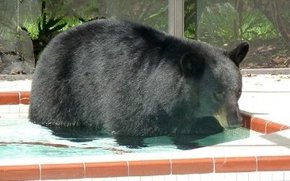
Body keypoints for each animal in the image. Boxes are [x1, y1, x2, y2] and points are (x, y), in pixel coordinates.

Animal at [29, 18, 248, 146]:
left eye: (238, 92)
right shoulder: (133, 92)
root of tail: (50, 44)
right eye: (218, 93)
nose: (235, 121)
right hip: (59, 87)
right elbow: (130, 125)